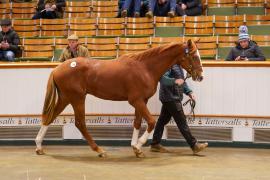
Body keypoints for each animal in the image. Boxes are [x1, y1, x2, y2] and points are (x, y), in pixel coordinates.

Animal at [35, 39, 202, 158]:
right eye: (194, 56)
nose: (200, 76)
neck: (145, 68)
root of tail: (58, 68)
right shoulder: (136, 101)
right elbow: (151, 122)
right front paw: (138, 146)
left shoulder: (142, 101)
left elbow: (137, 122)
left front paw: (135, 148)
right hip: (77, 98)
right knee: (80, 123)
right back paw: (99, 150)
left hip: (66, 98)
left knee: (50, 117)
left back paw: (39, 147)